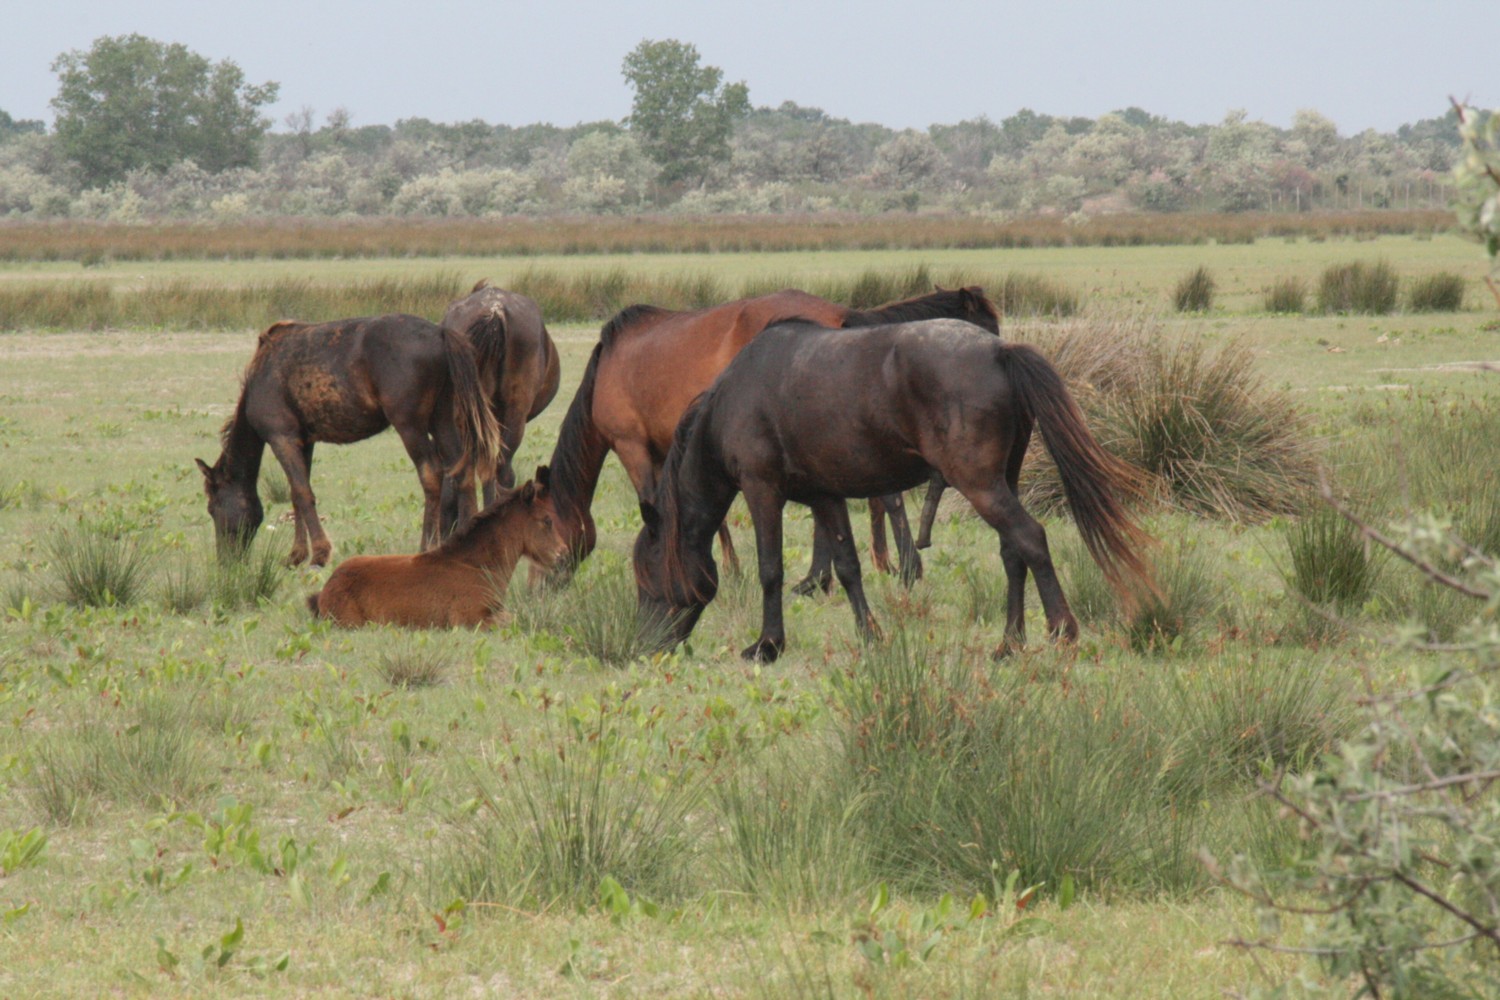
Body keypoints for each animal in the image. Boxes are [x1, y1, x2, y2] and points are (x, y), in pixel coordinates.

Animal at [196, 314, 501, 567]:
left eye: (212, 508)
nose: (226, 561)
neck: (260, 375)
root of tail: (440, 333)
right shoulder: (304, 441)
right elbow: (297, 493)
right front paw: (297, 554)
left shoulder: (282, 437)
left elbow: (302, 493)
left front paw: (319, 554)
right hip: (443, 419)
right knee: (462, 468)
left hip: (410, 425)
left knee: (431, 472)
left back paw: (426, 546)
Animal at [307, 468, 564, 629]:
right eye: (547, 520)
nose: (562, 555)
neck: (475, 566)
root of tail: (329, 585)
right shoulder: (469, 620)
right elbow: (513, 619)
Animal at [632, 318, 1155, 662]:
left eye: (646, 575)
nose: (643, 647)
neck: (734, 399)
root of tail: (998, 351)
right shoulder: (826, 496)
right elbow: (847, 567)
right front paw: (870, 635)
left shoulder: (763, 492)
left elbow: (770, 570)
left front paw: (768, 645)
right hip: (1001, 481)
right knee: (1013, 552)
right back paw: (1009, 643)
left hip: (979, 484)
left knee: (1031, 540)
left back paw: (1061, 630)